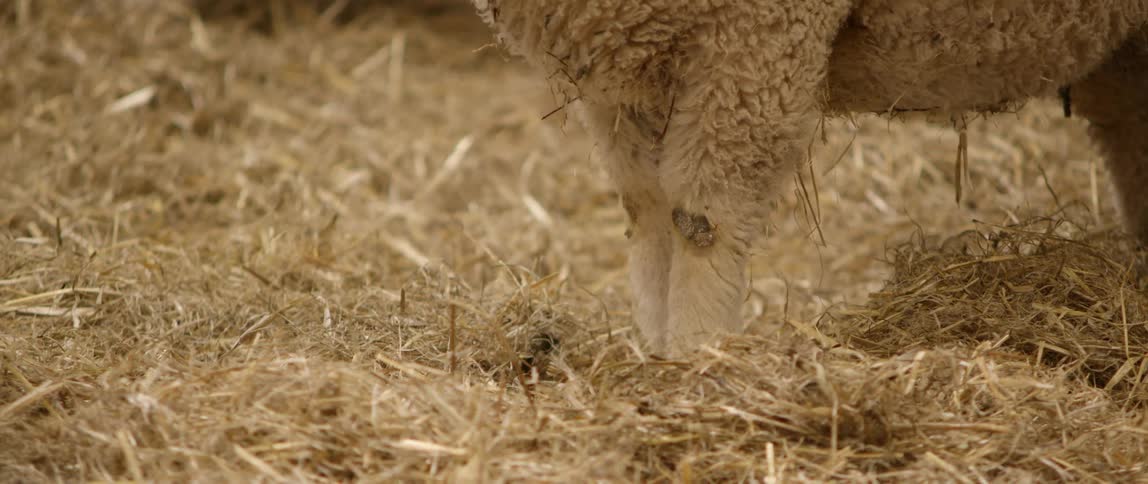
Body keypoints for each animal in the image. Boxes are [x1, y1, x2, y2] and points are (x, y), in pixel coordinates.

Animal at [472, 0, 1148, 356]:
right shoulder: (626, 79)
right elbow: (650, 216)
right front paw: (660, 361)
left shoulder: (758, 38)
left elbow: (705, 220)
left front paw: (697, 363)